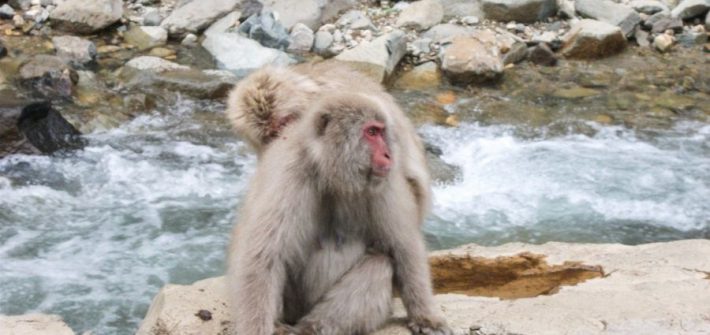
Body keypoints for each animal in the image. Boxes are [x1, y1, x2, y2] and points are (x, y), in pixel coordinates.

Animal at [228, 63, 450, 335]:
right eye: (271, 133)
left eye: (375, 132)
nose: (387, 154)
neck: (330, 170)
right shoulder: (291, 176)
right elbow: (263, 256)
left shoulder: (383, 180)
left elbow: (402, 243)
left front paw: (426, 317)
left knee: (377, 262)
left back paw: (312, 327)